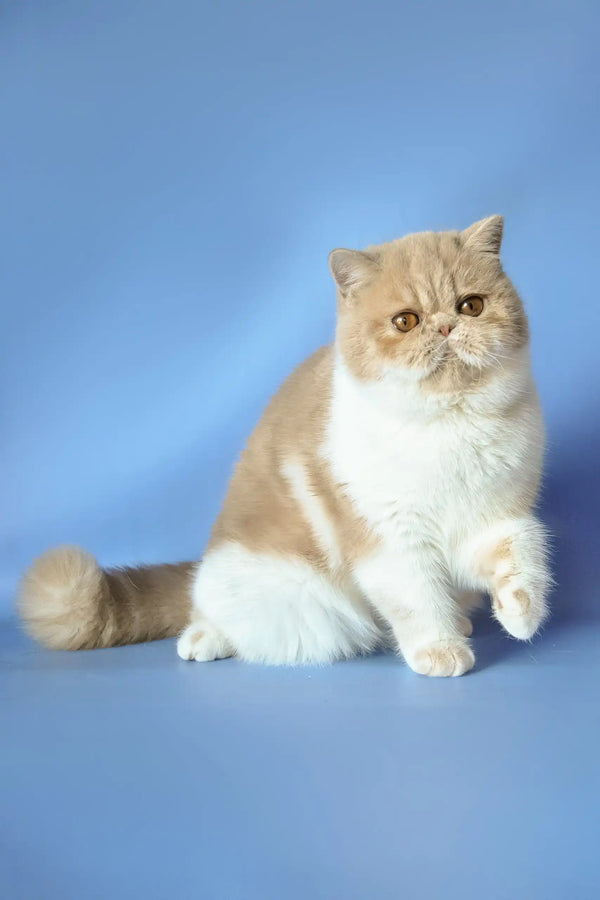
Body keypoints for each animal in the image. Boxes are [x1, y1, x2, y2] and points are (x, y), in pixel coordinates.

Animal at [17, 216, 552, 676]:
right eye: (406, 321)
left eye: (471, 306)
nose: (445, 326)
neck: (447, 427)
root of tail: (207, 560)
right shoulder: (390, 538)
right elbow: (417, 598)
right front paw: (439, 650)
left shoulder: (491, 516)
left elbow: (520, 550)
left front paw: (520, 609)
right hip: (293, 607)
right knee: (213, 612)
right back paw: (202, 639)